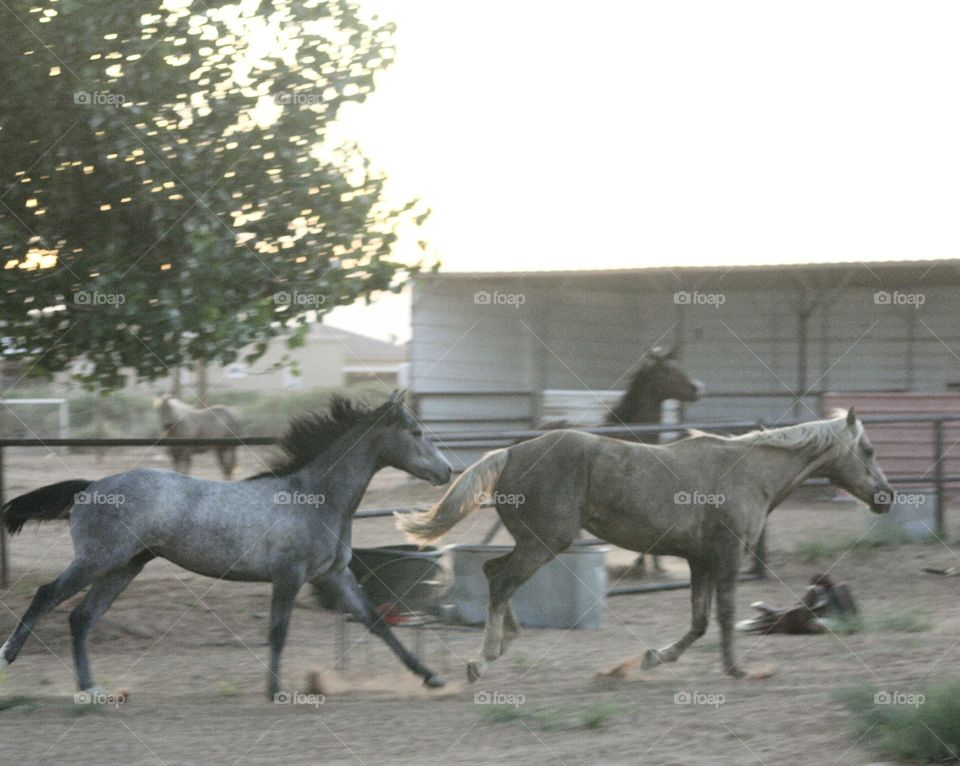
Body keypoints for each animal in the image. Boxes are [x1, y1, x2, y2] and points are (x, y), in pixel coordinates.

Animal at [0, 396, 454, 704]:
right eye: (416, 433)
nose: (447, 471)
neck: (315, 498)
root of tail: (91, 487)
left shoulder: (333, 575)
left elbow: (376, 622)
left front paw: (431, 677)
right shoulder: (288, 576)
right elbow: (278, 631)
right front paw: (276, 691)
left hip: (123, 568)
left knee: (81, 618)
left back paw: (92, 689)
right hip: (97, 560)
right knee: (47, 596)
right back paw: (10, 657)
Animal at [398, 412, 892, 688]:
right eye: (868, 449)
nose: (885, 497)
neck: (749, 472)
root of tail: (509, 454)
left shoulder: (699, 560)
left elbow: (698, 621)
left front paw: (654, 658)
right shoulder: (727, 555)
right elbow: (725, 616)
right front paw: (737, 670)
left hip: (534, 542)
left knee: (494, 573)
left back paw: (501, 646)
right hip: (544, 542)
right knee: (501, 579)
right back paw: (482, 661)